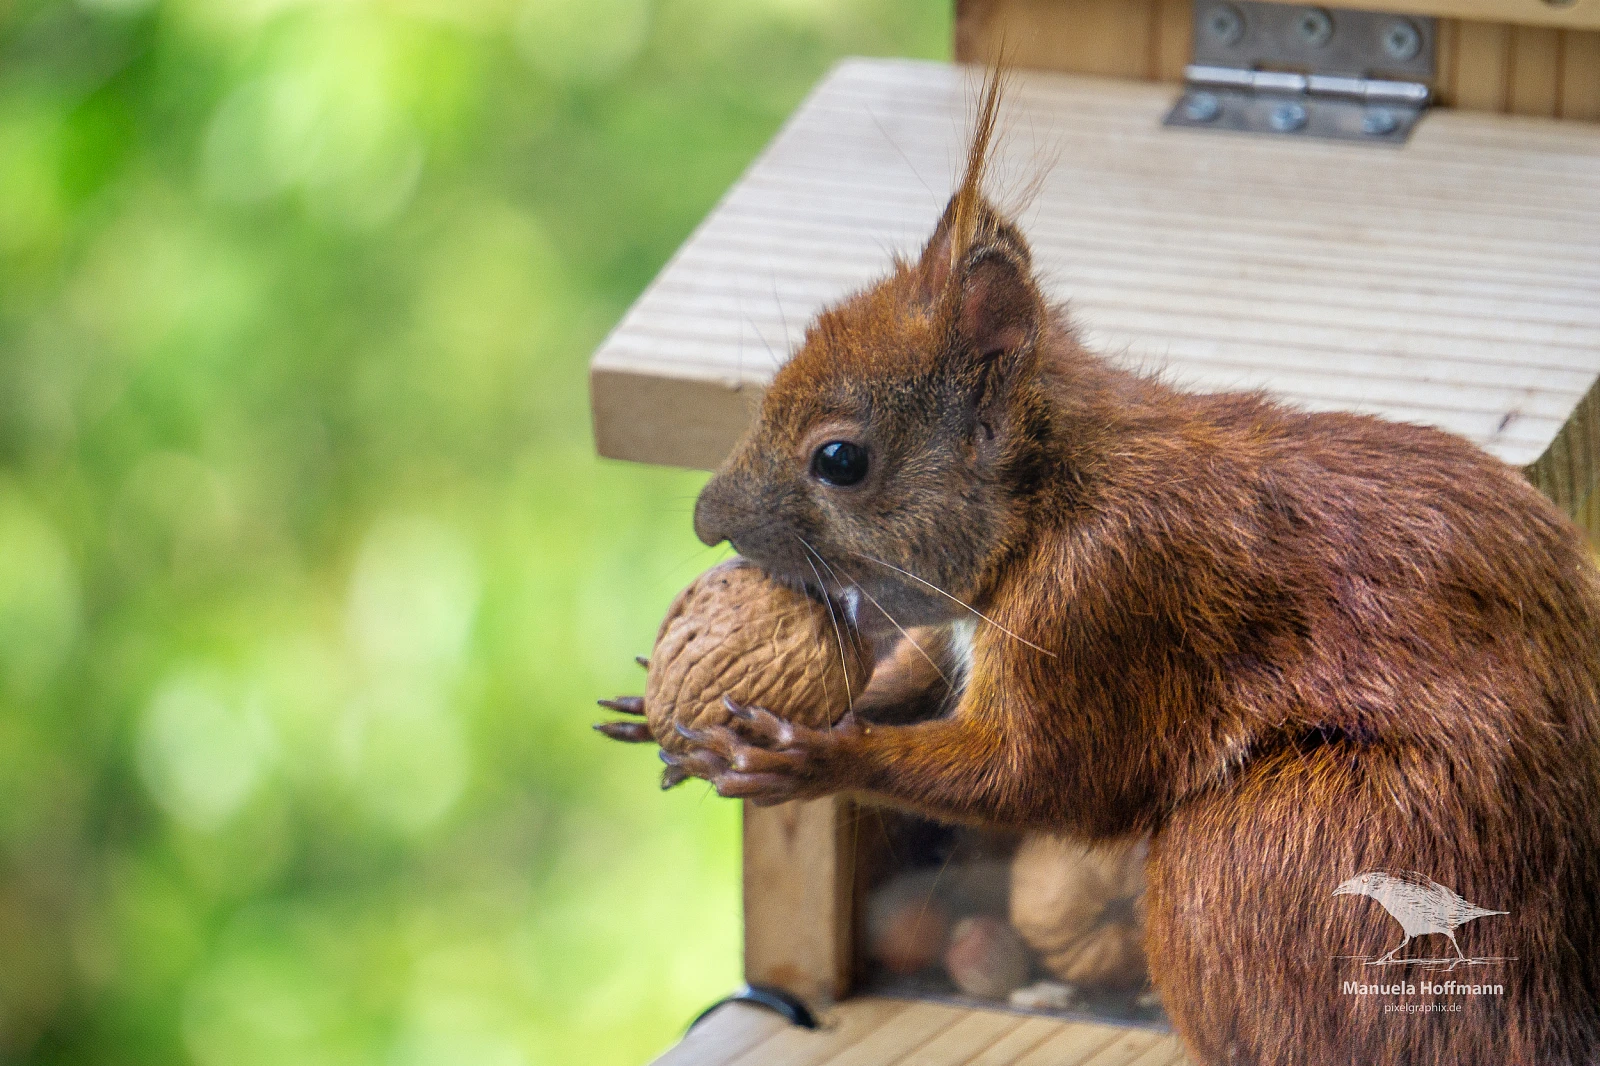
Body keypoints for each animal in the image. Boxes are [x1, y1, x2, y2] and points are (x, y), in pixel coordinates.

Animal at [600, 70, 1600, 1065]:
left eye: (841, 460)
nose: (706, 521)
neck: (1054, 495)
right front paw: (678, 712)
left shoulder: (1105, 603)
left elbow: (1040, 773)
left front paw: (811, 755)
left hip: (1289, 852)